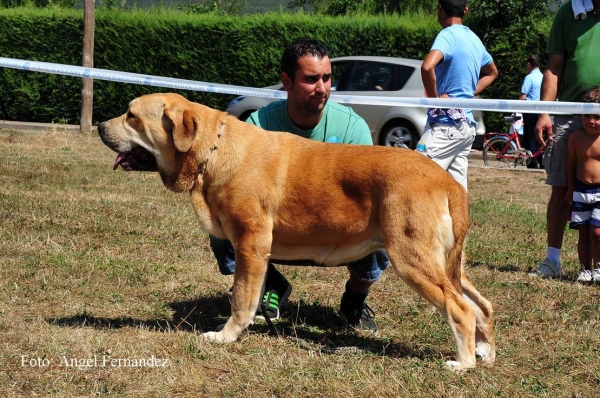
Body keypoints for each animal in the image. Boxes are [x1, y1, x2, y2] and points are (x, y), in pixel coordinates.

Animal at [97, 92, 492, 370]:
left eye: (132, 116)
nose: (100, 126)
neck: (213, 150)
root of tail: (446, 181)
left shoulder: (250, 243)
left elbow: (241, 298)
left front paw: (226, 336)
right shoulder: (250, 249)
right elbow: (251, 292)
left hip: (412, 258)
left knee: (461, 308)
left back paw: (463, 362)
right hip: (449, 264)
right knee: (482, 305)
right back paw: (484, 351)